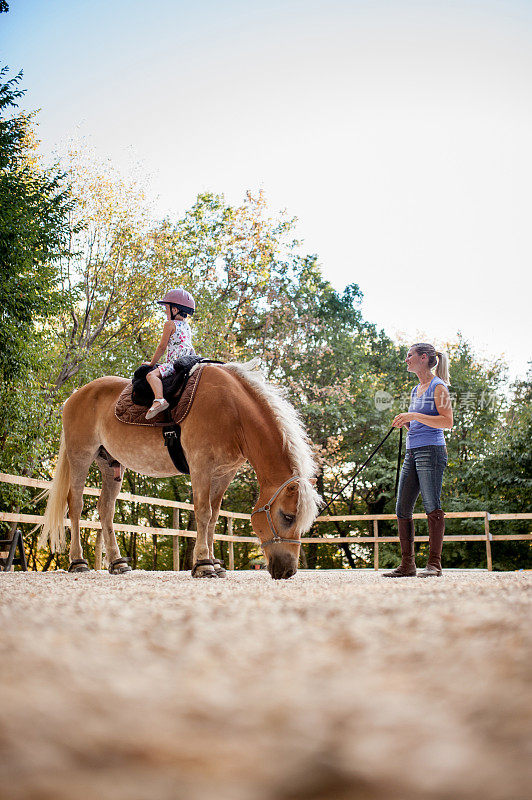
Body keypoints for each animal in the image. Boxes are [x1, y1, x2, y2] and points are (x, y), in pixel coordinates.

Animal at [39, 364, 320, 580]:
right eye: (287, 516)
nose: (288, 571)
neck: (233, 411)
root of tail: (74, 396)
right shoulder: (201, 467)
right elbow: (203, 513)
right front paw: (204, 565)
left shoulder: (224, 473)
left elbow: (214, 517)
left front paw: (215, 563)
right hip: (81, 456)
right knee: (75, 504)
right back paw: (78, 561)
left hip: (110, 464)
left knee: (105, 508)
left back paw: (117, 563)